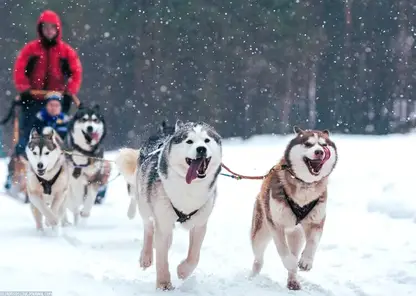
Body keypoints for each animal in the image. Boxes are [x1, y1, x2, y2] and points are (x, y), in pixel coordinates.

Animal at [115, 119, 223, 290]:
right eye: (189, 141)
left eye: (207, 140)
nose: (201, 149)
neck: (189, 188)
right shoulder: (163, 221)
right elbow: (161, 258)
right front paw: (164, 284)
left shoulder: (200, 224)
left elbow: (194, 255)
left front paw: (183, 271)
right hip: (145, 205)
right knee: (149, 228)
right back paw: (146, 256)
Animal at [250, 126, 338, 290]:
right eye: (308, 144)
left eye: (324, 145)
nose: (319, 152)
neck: (305, 186)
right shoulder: (275, 224)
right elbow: (283, 251)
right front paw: (290, 263)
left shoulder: (316, 221)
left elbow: (313, 242)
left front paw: (306, 261)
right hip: (260, 234)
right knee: (258, 258)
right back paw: (253, 277)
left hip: (296, 235)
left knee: (295, 250)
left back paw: (293, 280)